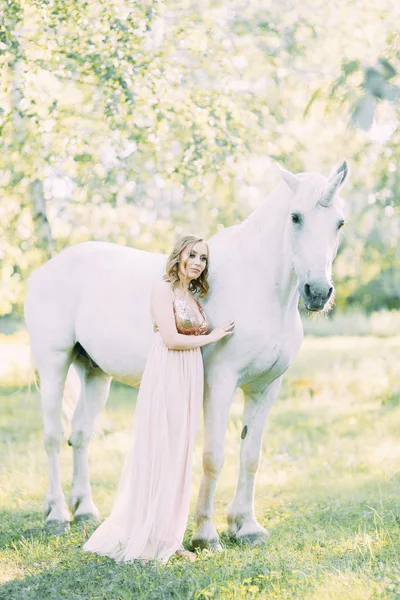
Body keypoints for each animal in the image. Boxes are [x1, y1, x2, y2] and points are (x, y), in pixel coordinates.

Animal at [24, 162, 346, 548]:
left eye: (340, 223)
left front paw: (247, 526)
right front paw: (206, 535)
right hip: (53, 363)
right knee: (53, 436)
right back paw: (57, 515)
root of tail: (44, 270)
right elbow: (213, 457)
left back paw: (85, 510)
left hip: (94, 372)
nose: (318, 292)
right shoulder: (221, 384)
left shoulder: (266, 388)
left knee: (81, 433)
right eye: (296, 217)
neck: (260, 288)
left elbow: (251, 456)